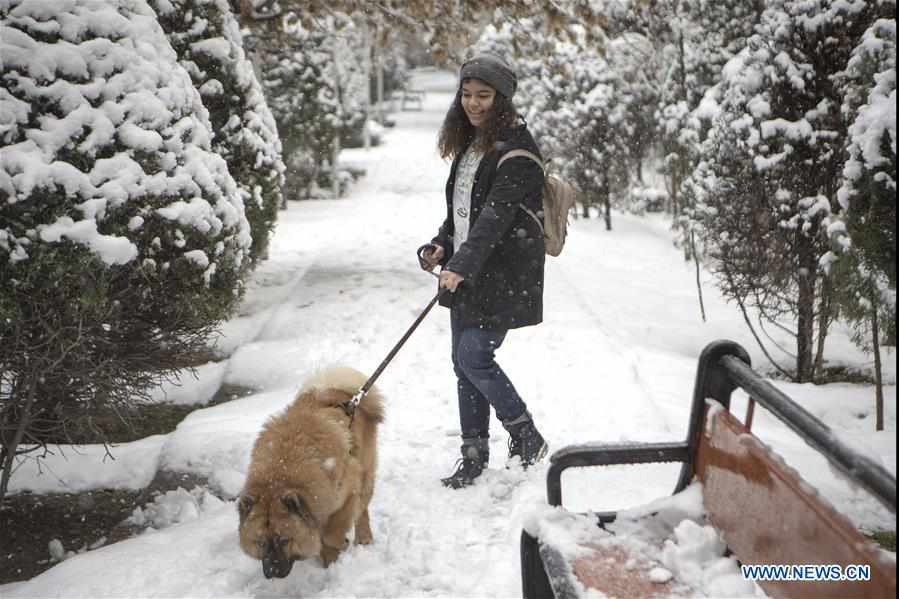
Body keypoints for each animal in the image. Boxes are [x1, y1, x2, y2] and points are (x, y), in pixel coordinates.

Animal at [237, 368, 382, 580]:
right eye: (261, 543)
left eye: (285, 540)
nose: (272, 571)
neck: (279, 478)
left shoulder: (347, 488)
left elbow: (331, 534)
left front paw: (339, 546)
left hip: (365, 472)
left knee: (362, 510)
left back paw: (363, 538)